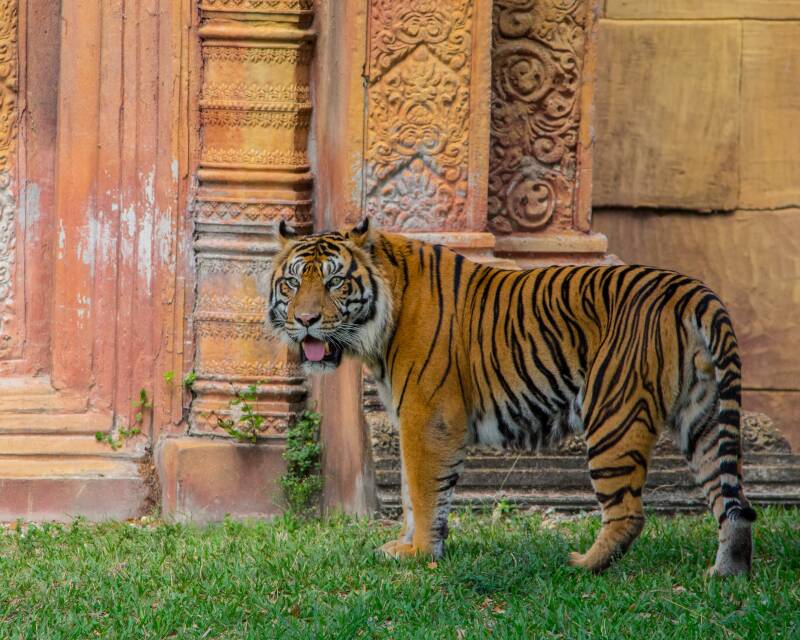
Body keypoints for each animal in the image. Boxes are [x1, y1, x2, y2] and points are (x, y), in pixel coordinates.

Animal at [266, 218, 756, 576]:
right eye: (292, 283)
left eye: (335, 283)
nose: (305, 321)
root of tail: (691, 291)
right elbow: (413, 490)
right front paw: (414, 546)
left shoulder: (427, 416)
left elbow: (422, 491)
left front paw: (419, 553)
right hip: (704, 415)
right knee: (732, 502)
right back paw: (726, 575)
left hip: (613, 415)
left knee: (629, 513)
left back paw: (581, 565)